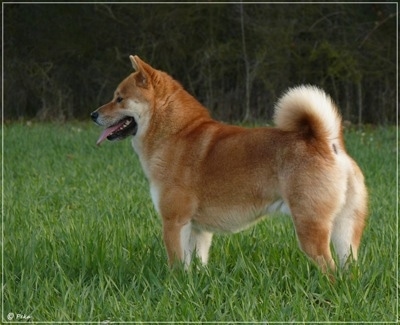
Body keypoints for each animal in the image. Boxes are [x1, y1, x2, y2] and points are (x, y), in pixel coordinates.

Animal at [91, 55, 368, 274]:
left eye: (119, 99)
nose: (93, 114)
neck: (175, 134)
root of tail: (327, 142)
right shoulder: (198, 229)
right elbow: (195, 264)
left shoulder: (174, 221)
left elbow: (176, 265)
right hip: (345, 231)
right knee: (348, 267)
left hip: (310, 227)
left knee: (329, 269)